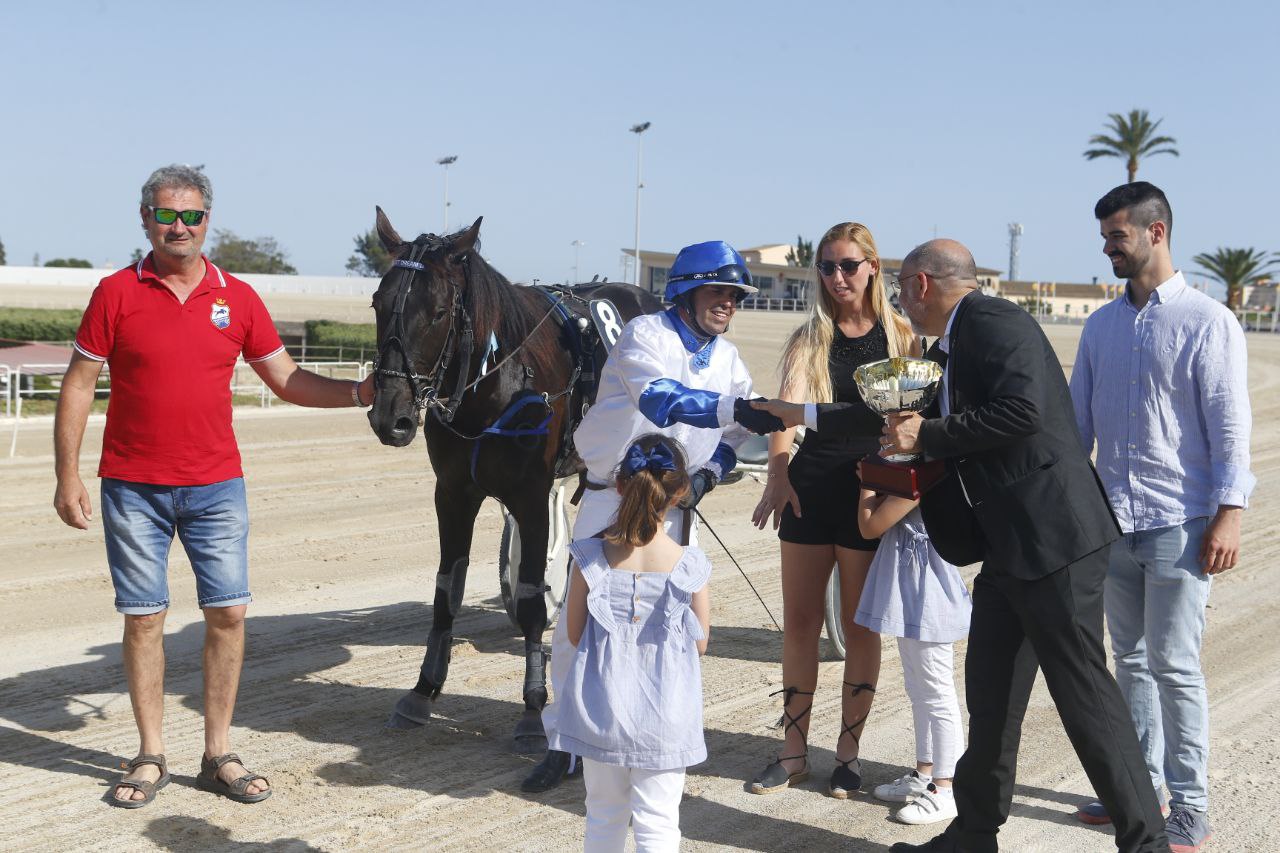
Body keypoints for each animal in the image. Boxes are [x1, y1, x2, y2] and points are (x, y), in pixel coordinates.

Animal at [363, 207, 655, 753]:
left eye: (438, 311)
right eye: (378, 302)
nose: (390, 417)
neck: (495, 384)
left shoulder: (530, 497)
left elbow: (531, 597)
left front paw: (534, 708)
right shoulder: (453, 494)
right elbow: (447, 590)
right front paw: (423, 689)